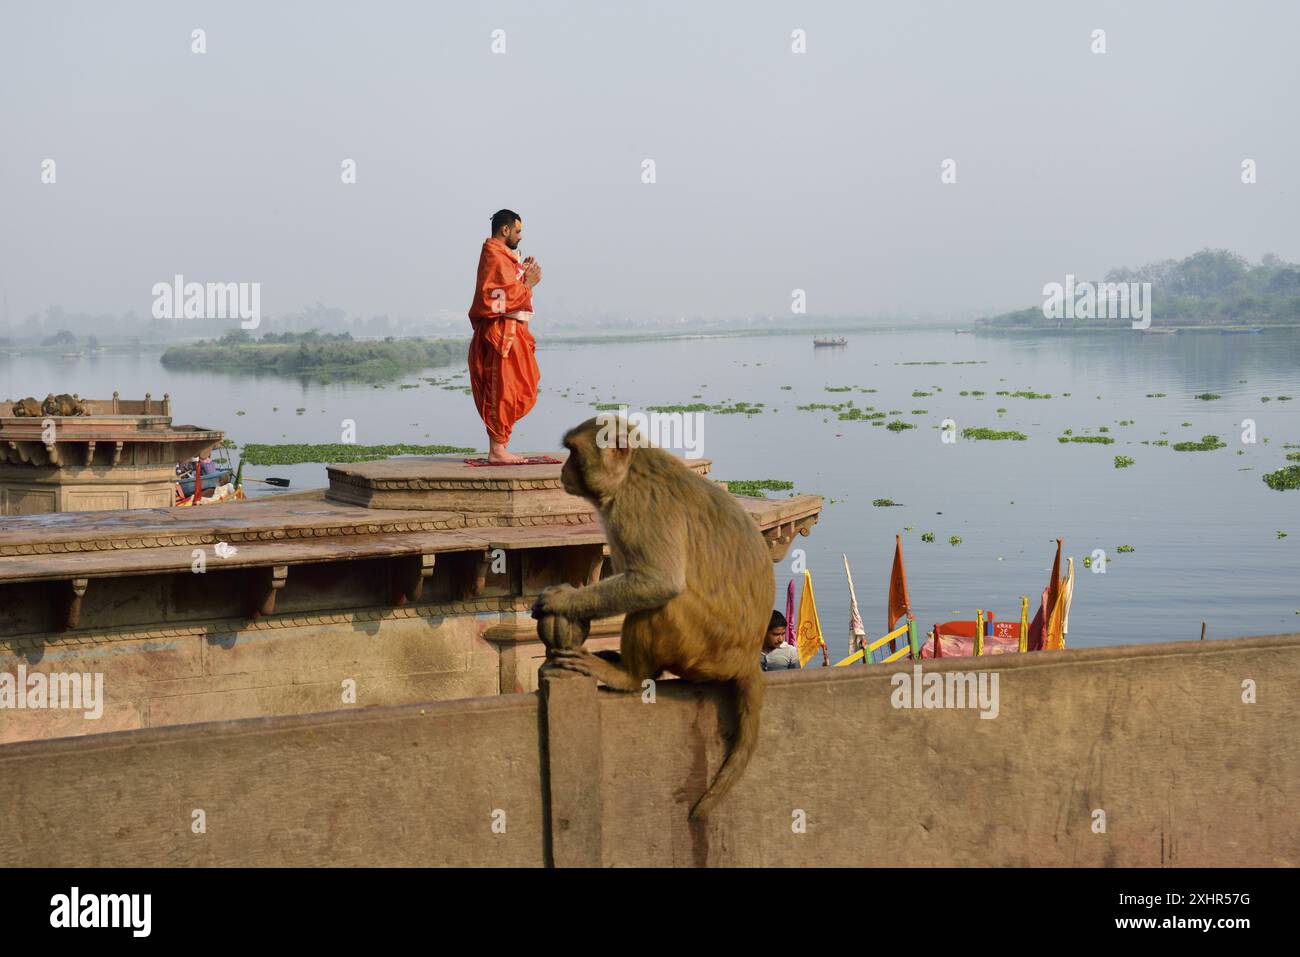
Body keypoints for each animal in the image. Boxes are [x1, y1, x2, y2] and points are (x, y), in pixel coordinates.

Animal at [533, 416, 774, 816]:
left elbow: (657, 581)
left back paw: (628, 676)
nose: (562, 470)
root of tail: (748, 658)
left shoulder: (635, 509)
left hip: (702, 648)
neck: (631, 472)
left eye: (574, 453)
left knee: (664, 603)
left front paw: (564, 600)